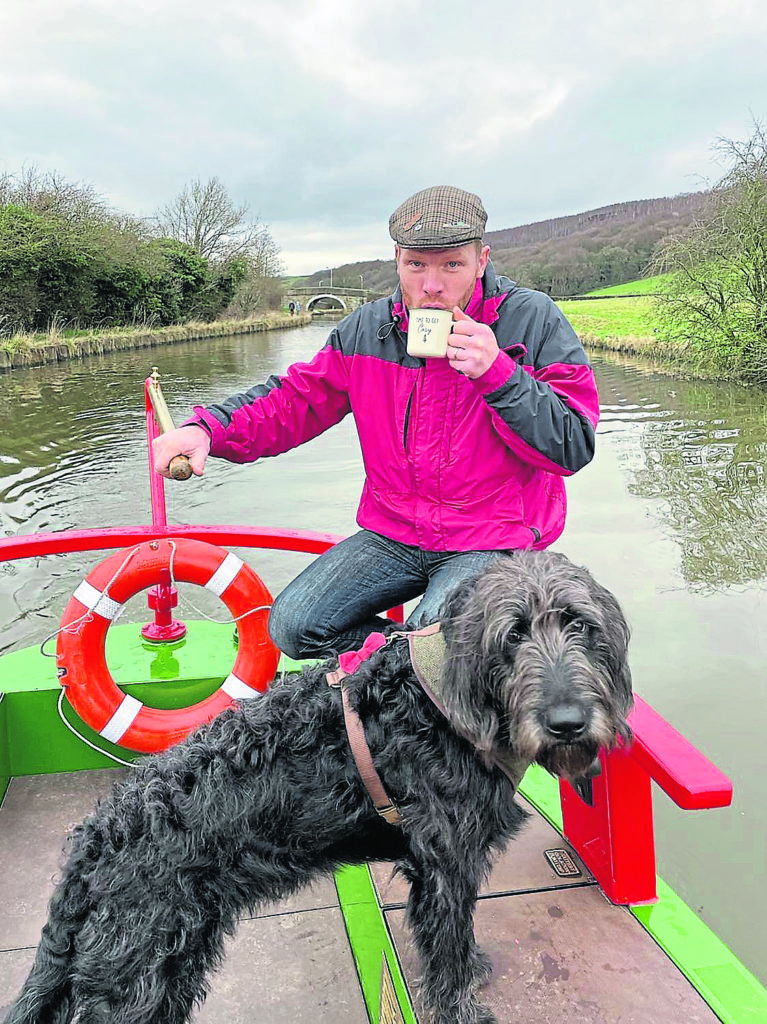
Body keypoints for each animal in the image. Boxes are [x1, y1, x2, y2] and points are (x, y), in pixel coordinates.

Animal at [4, 552, 626, 1024]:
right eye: (512, 634)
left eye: (579, 625)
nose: (568, 721)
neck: (437, 700)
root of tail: (92, 842)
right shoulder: (445, 869)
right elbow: (446, 964)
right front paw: (463, 1009)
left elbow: (457, 948)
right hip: (138, 977)